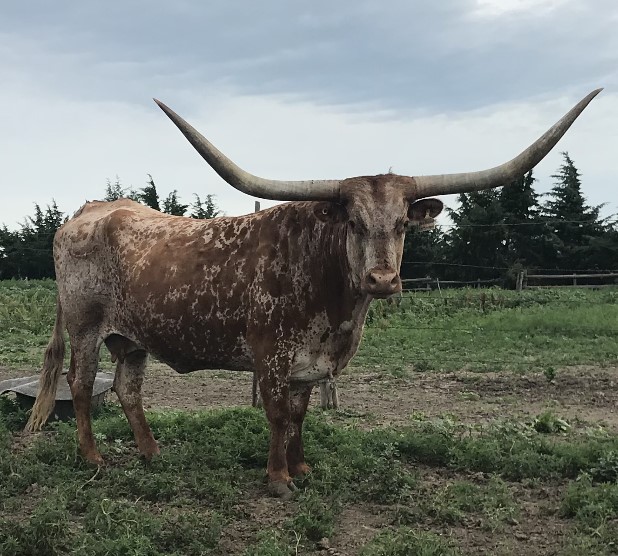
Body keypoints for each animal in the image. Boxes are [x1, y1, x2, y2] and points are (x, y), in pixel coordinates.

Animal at [26, 89, 601, 498]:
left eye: (401, 224)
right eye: (352, 222)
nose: (382, 280)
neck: (336, 306)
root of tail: (91, 209)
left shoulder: (310, 361)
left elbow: (301, 415)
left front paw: (301, 466)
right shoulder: (271, 356)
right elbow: (279, 414)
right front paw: (279, 479)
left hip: (133, 337)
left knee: (128, 389)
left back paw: (151, 453)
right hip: (86, 325)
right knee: (81, 385)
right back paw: (93, 457)